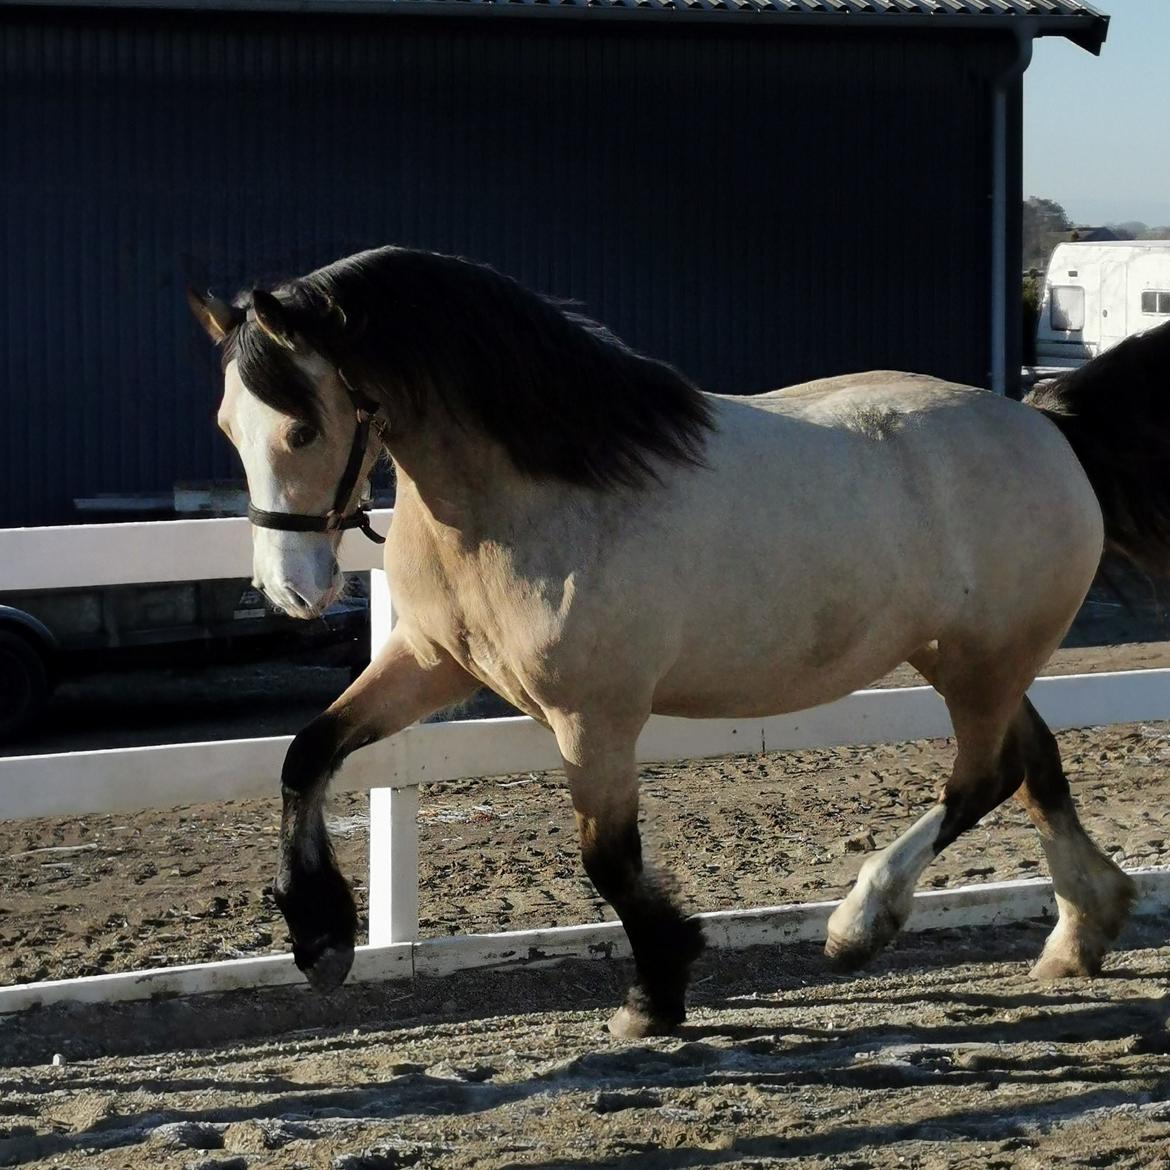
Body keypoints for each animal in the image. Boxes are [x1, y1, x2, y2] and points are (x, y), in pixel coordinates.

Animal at [187, 249, 1165, 1043]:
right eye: (228, 427)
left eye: (303, 426)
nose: (292, 589)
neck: (535, 492)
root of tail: (1044, 426)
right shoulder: (431, 664)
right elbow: (307, 754)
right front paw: (320, 936)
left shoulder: (595, 716)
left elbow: (608, 860)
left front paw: (656, 992)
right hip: (963, 657)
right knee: (1033, 763)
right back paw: (1083, 931)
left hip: (982, 659)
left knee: (984, 777)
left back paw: (861, 924)